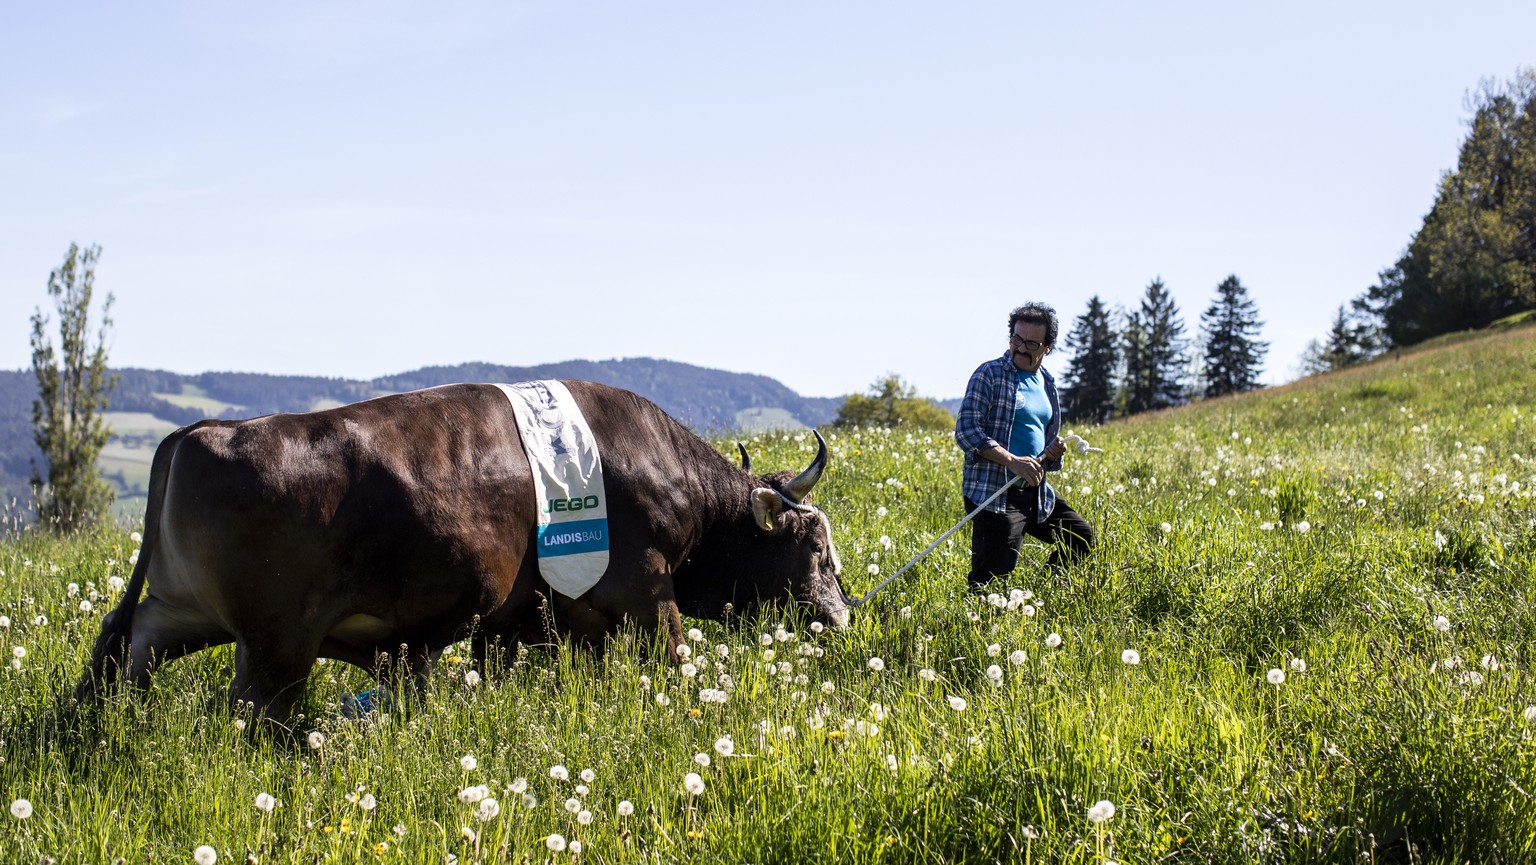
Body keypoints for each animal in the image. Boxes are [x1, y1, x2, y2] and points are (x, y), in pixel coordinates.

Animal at [74, 382, 854, 722]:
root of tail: (201, 431)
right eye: (817, 549)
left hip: (178, 614)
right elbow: (674, 662)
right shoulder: (645, 590)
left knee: (120, 657)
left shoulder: (521, 618)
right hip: (275, 645)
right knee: (255, 716)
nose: (844, 616)